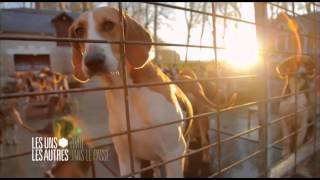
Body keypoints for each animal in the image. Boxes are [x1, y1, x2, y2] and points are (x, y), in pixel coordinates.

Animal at [69, 6, 192, 177]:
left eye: (108, 25)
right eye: (79, 30)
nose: (93, 61)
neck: (128, 94)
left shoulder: (173, 154)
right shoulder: (126, 158)